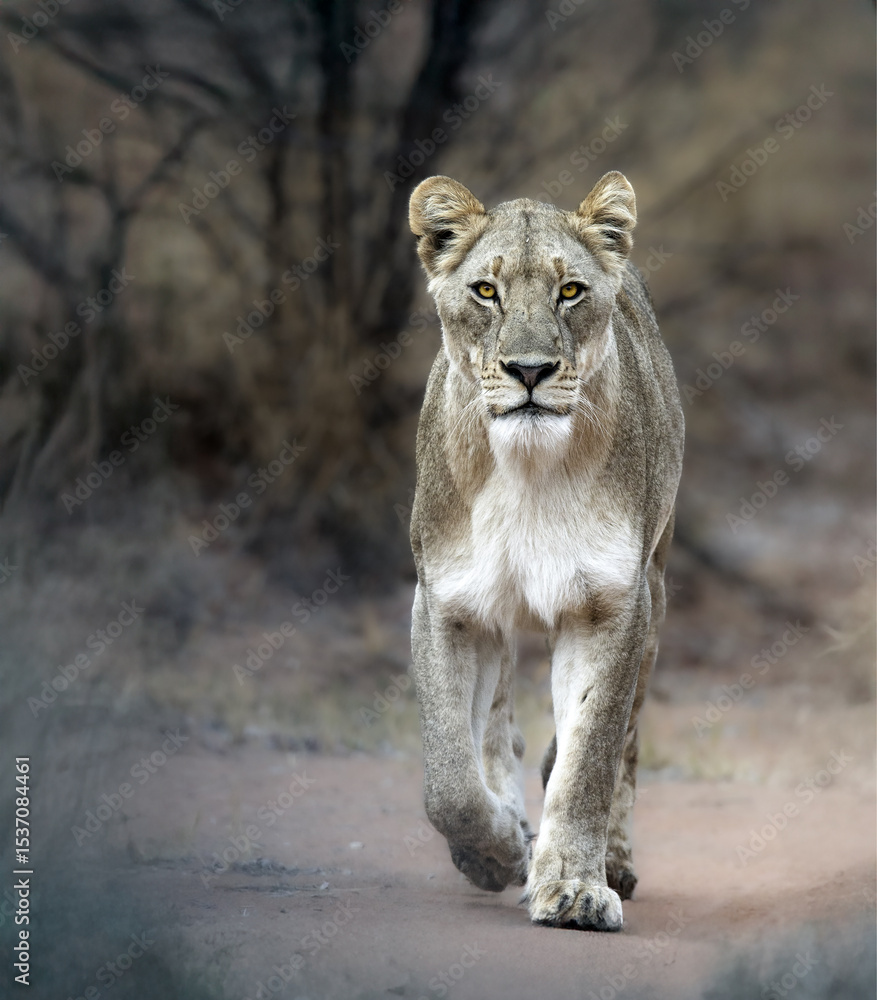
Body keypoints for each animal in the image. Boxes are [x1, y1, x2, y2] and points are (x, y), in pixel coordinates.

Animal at [406, 171, 684, 931]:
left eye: (570, 291)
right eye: (485, 290)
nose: (528, 370)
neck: (527, 467)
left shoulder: (613, 605)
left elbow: (590, 757)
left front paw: (574, 887)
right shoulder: (446, 603)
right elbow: (448, 778)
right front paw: (496, 851)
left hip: (656, 591)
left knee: (623, 740)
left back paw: (613, 860)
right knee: (497, 724)